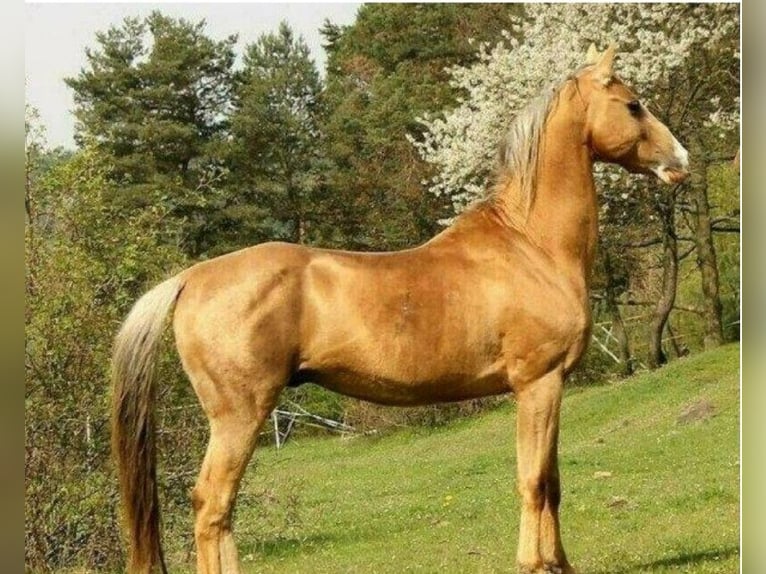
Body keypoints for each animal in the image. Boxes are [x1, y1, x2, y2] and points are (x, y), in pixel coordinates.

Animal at [111, 44, 689, 574]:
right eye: (633, 105)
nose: (681, 161)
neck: (531, 245)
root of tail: (190, 278)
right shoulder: (538, 383)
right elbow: (535, 481)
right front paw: (534, 564)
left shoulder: (550, 387)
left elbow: (554, 481)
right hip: (239, 415)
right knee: (212, 507)